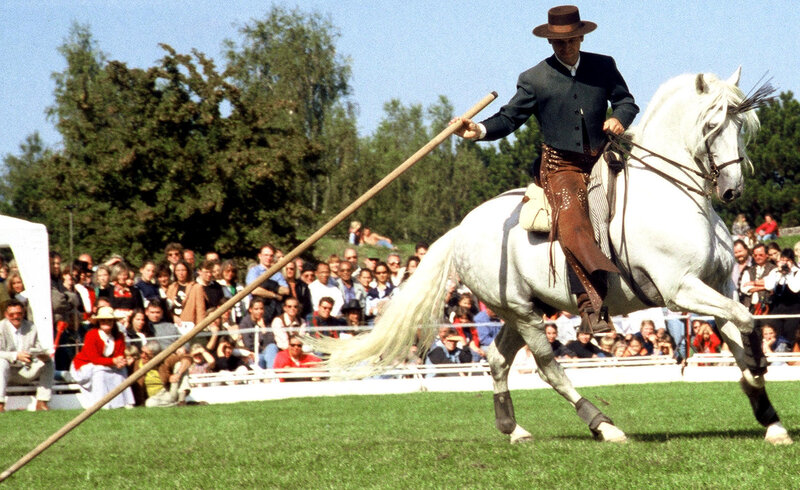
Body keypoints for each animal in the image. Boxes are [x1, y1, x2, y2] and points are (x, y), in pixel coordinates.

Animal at [316, 68, 792, 445]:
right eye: (712, 124)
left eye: (743, 124)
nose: (731, 190)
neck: (673, 194)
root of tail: (460, 230)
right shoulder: (681, 289)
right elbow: (747, 324)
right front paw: (758, 372)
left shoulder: (717, 285)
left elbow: (738, 330)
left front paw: (768, 415)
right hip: (524, 314)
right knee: (548, 368)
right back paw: (604, 426)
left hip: (522, 309)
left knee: (497, 360)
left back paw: (513, 429)